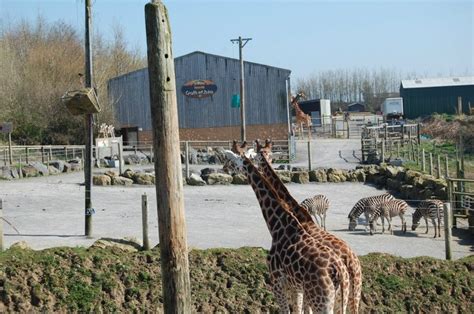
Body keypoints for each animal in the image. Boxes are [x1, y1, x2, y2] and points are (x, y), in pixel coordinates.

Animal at [254, 145, 362, 314]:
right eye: (266, 154)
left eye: (259, 156)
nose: (261, 165)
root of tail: (351, 261)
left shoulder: (295, 285)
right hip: (354, 290)